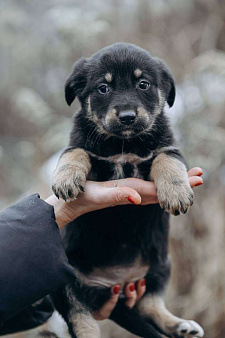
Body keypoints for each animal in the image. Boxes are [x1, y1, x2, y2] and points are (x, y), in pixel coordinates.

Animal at [51, 44, 204, 338]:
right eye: (103, 88)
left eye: (143, 84)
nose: (127, 117)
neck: (124, 143)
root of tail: (114, 285)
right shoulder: (84, 147)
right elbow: (74, 152)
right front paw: (66, 178)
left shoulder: (168, 148)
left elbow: (167, 160)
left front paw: (176, 192)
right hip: (63, 281)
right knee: (81, 318)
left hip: (160, 265)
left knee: (150, 304)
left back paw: (180, 325)